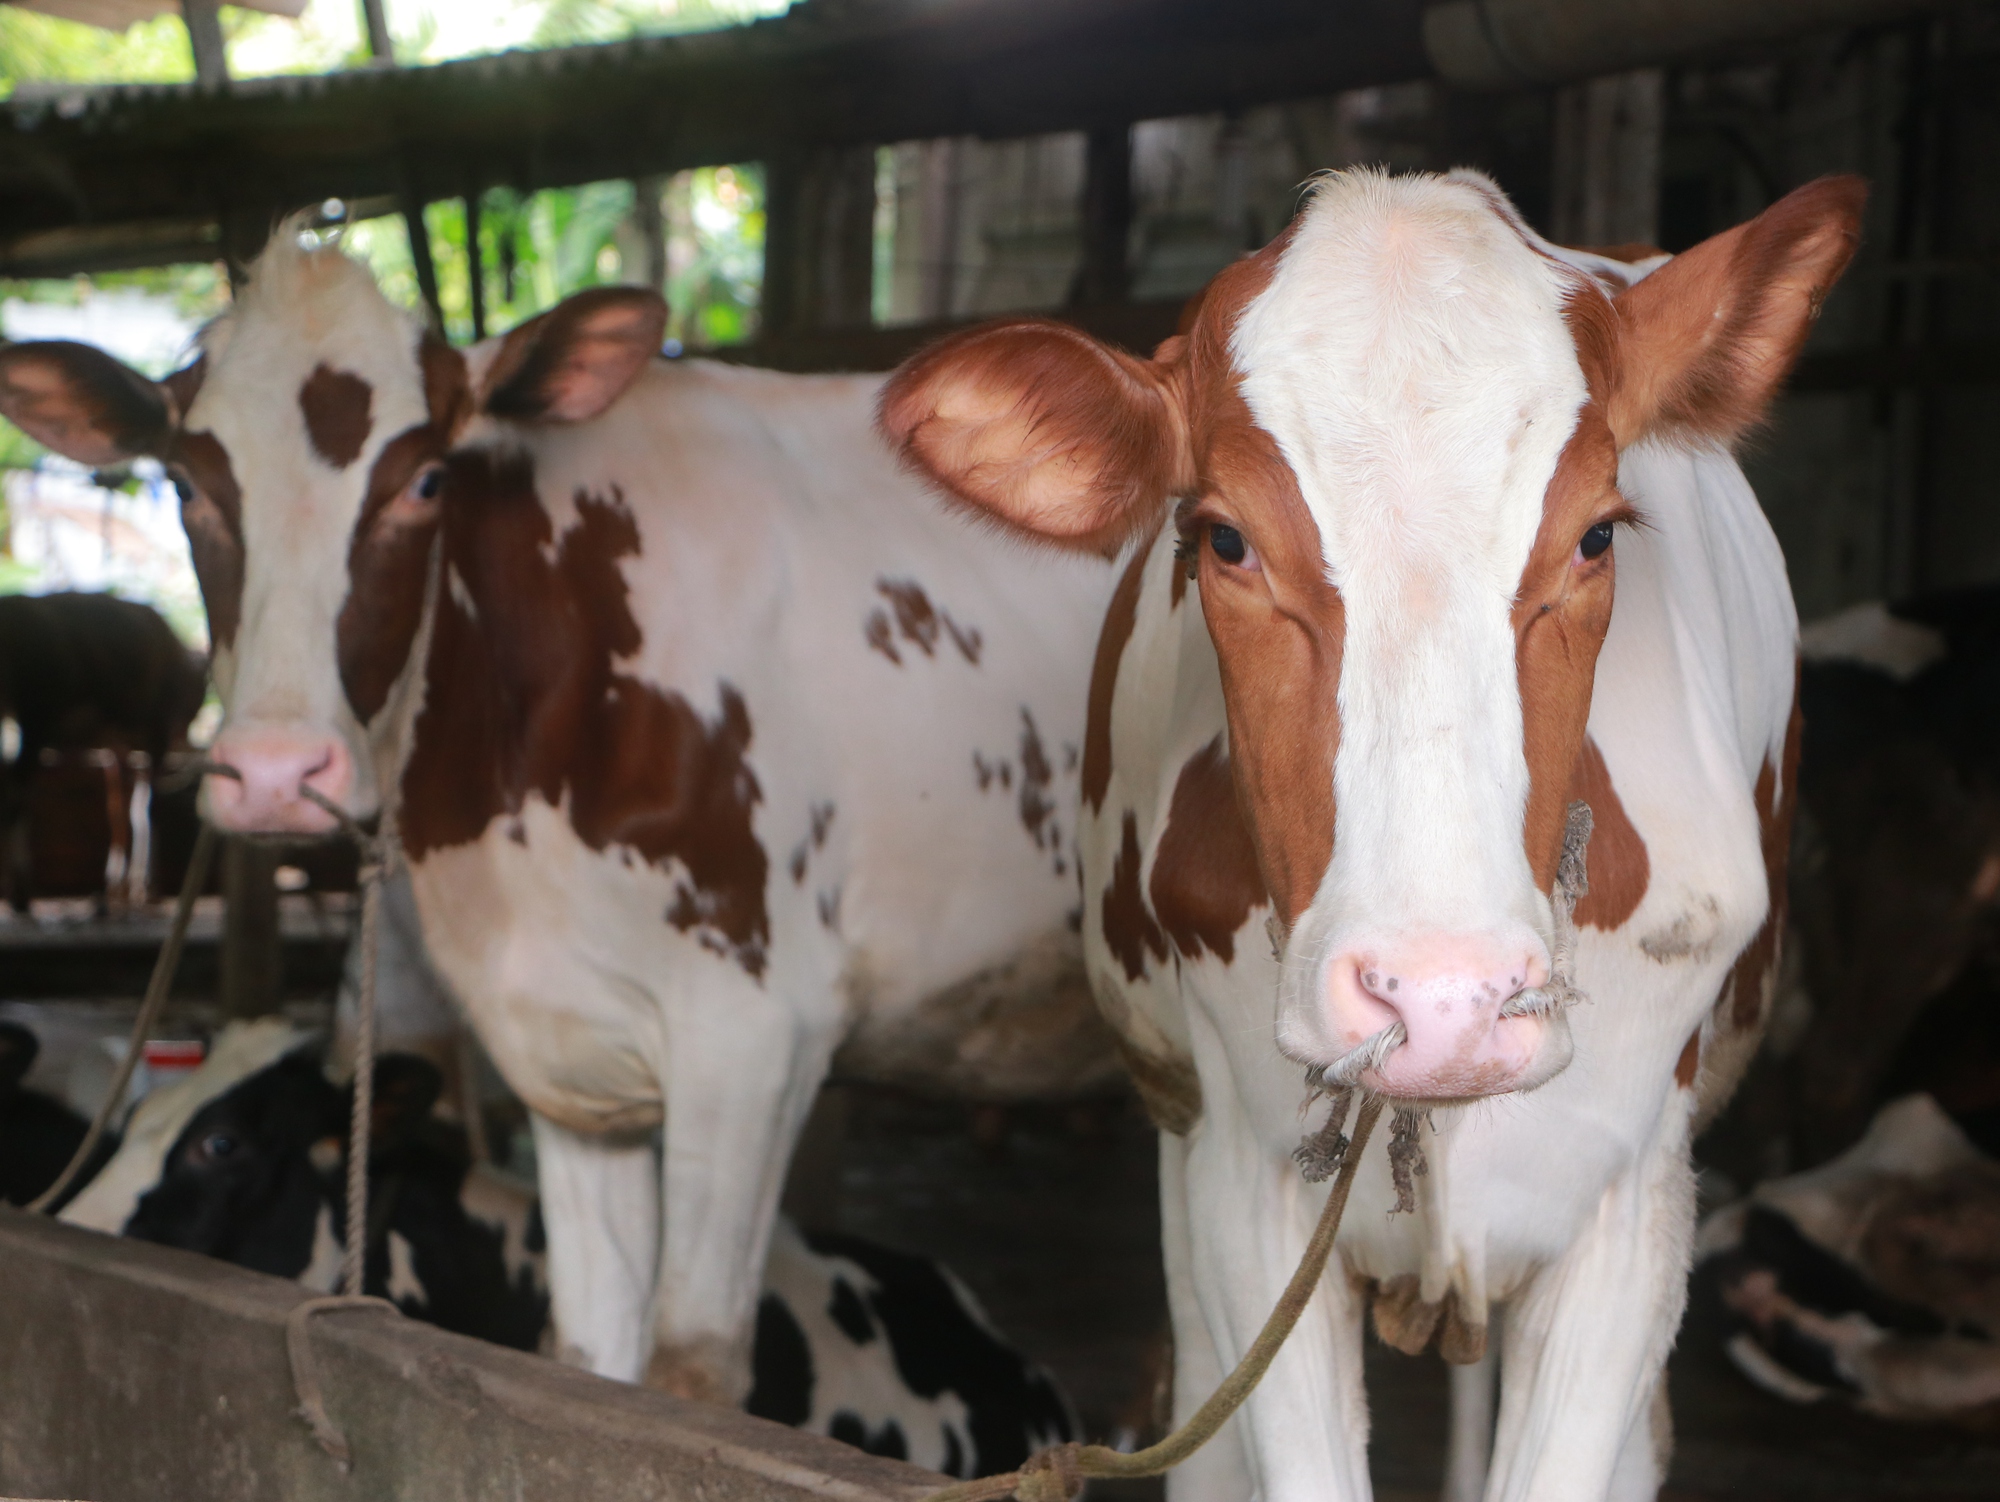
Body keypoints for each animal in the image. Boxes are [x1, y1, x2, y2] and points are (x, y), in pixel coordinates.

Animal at [0, 592, 204, 912]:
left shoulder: (115, 749)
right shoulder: (155, 732)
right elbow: (147, 809)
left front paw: (117, 888)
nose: (184, 732)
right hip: (37, 717)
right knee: (17, 796)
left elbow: (121, 811)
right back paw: (20, 894)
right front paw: (146, 889)